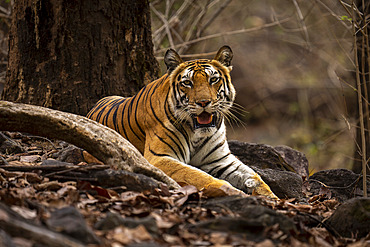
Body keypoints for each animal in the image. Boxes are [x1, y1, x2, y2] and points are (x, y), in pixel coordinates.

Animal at [86, 44, 278, 199]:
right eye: (187, 82)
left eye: (213, 79)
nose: (203, 102)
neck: (197, 134)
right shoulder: (160, 158)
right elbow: (199, 176)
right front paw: (234, 192)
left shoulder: (221, 159)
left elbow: (255, 177)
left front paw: (272, 198)